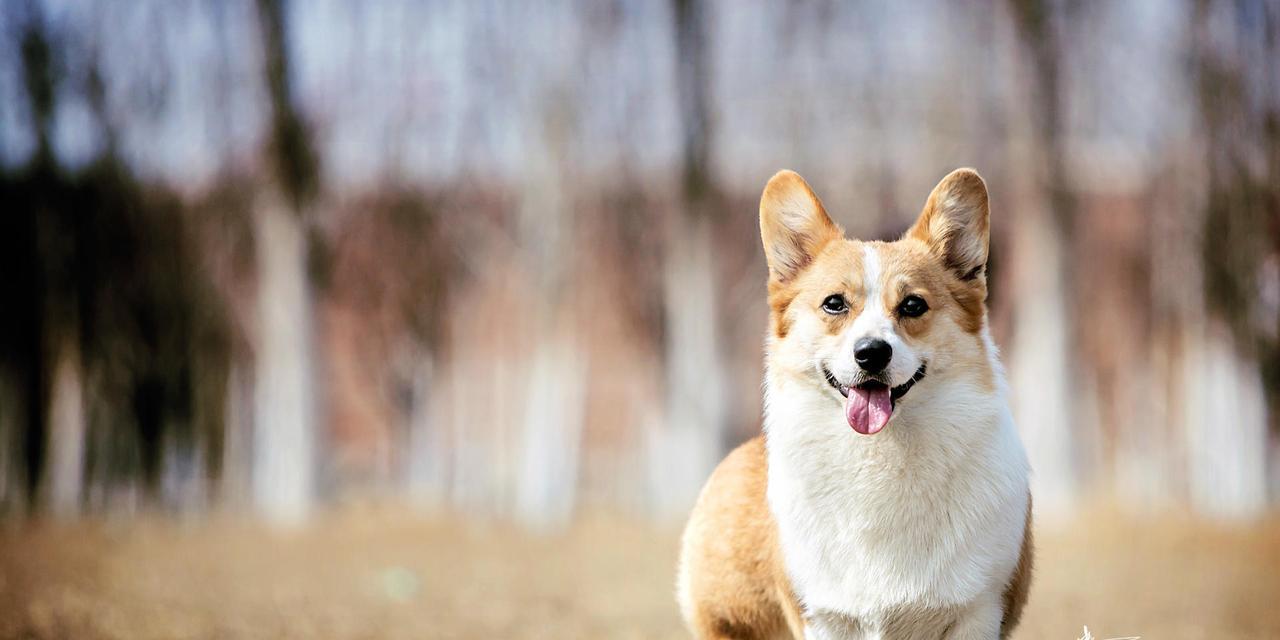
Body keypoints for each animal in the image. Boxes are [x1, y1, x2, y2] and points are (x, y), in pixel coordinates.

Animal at [680, 167, 1029, 637]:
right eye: (834, 303)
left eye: (913, 305)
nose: (871, 353)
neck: (880, 454)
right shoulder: (824, 616)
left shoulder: (977, 611)